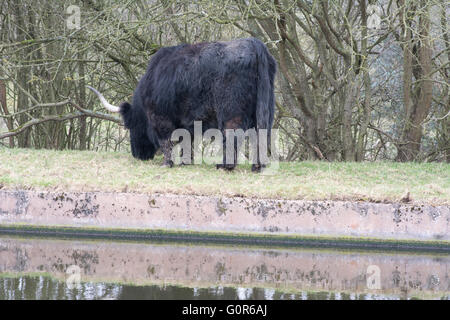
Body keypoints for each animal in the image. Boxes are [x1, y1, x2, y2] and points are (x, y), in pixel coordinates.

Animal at [87, 37, 276, 171]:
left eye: (129, 126)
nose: (138, 155)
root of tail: (254, 43)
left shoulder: (160, 118)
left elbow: (167, 141)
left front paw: (167, 163)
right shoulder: (188, 122)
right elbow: (187, 141)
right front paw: (186, 162)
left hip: (230, 111)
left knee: (233, 134)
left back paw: (225, 166)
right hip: (264, 108)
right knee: (261, 133)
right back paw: (257, 166)